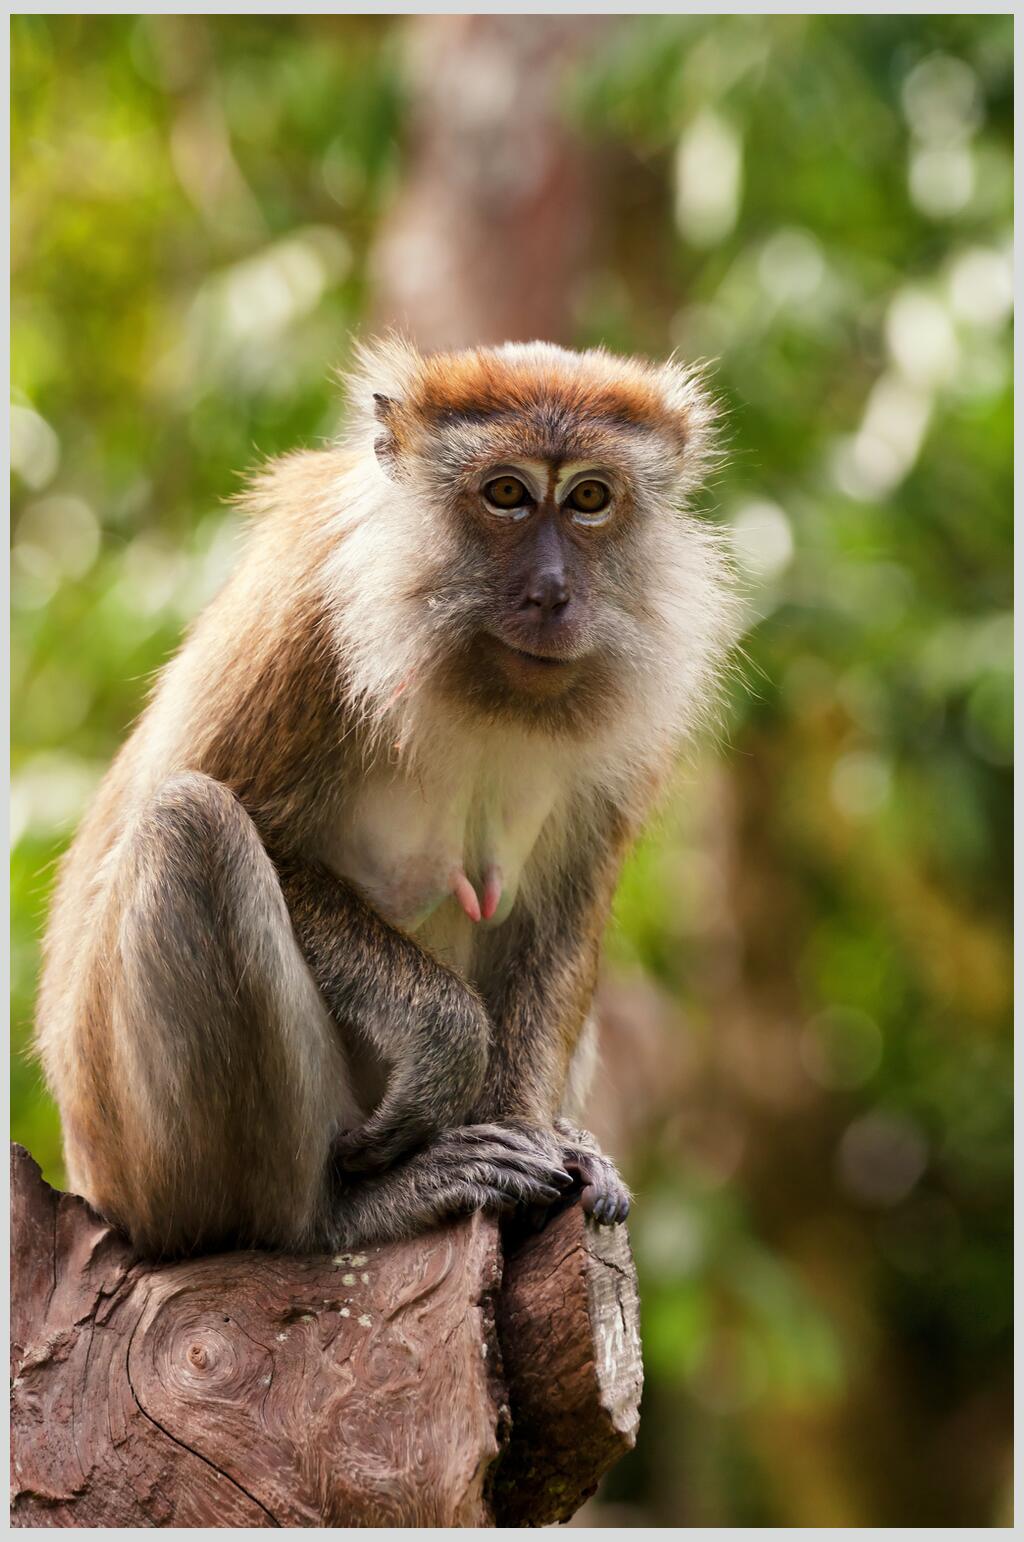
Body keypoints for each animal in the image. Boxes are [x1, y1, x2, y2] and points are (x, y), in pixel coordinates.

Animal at [33, 334, 737, 1252]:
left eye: (589, 498)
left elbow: (565, 907)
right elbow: (233, 818)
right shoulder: (308, 611)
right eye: (506, 493)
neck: (473, 672)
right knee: (192, 826)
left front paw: (536, 1135)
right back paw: (337, 1214)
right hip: (138, 1160)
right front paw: (446, 1041)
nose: (553, 591)